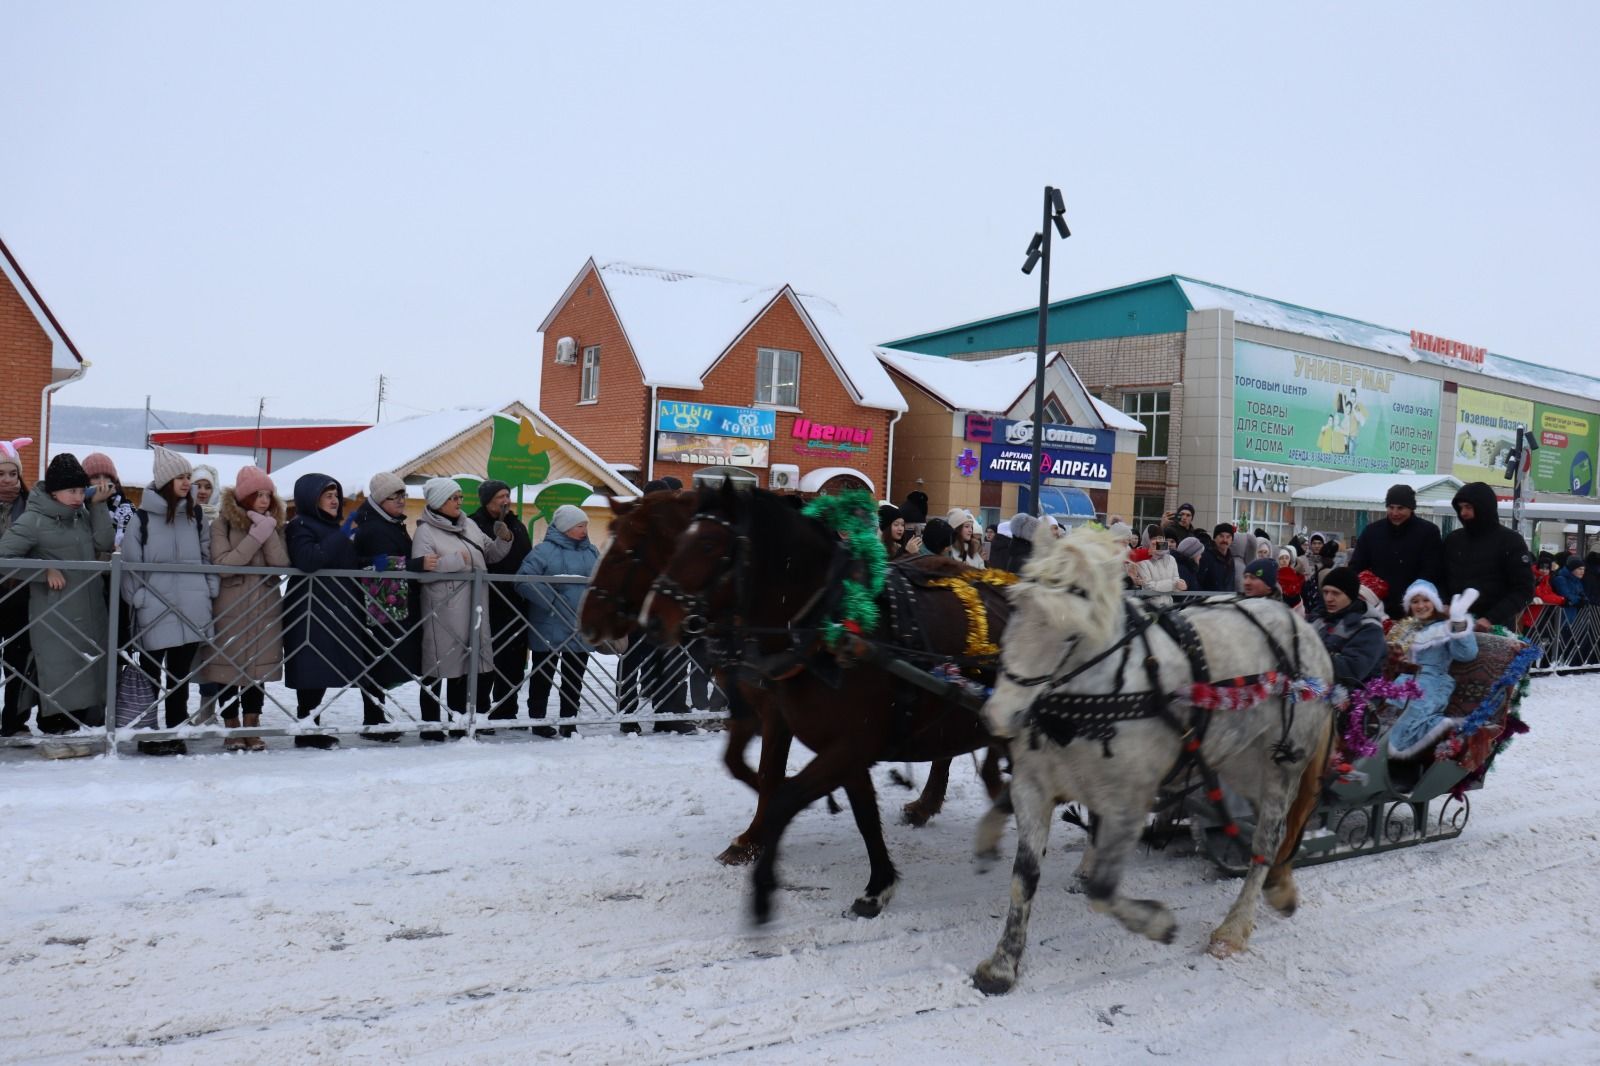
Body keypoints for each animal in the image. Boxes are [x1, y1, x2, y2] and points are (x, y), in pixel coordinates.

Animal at [582, 489, 966, 864]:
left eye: (625, 553)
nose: (587, 624)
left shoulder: (776, 712)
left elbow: (769, 771)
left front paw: (755, 835)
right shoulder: (749, 706)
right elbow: (736, 763)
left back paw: (928, 802)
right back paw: (926, 803)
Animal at [640, 483, 1004, 921]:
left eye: (710, 544)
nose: (652, 619)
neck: (827, 628)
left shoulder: (840, 739)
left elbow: (780, 788)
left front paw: (762, 864)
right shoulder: (825, 737)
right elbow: (858, 810)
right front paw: (877, 885)